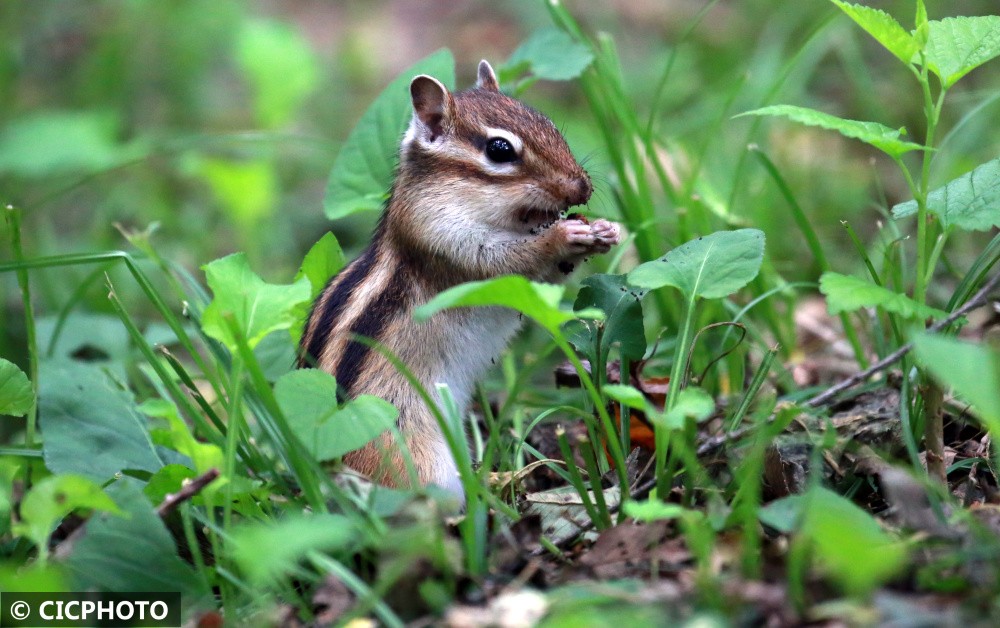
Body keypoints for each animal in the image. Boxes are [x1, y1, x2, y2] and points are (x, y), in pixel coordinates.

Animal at [299, 60, 622, 503]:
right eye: (500, 150)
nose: (582, 188)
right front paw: (562, 236)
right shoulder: (443, 241)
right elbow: (504, 263)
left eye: (549, 124)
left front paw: (604, 230)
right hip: (414, 461)